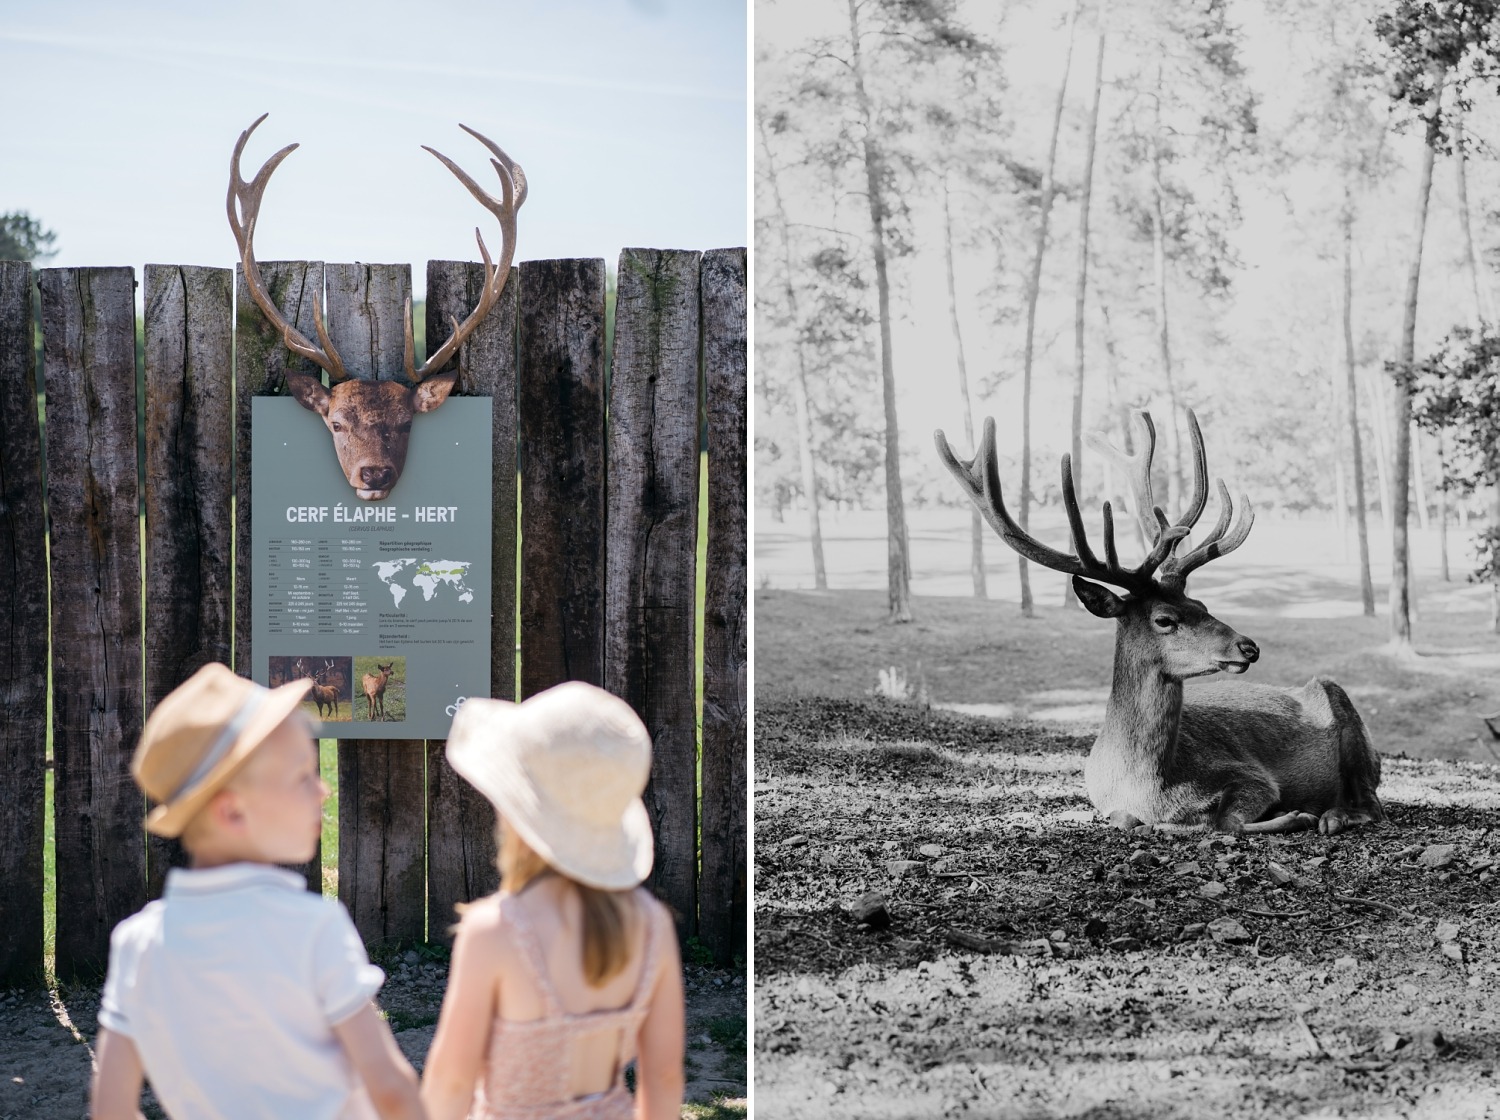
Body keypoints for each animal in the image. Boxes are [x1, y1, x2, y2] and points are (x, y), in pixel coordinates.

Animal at [930, 410, 1386, 833]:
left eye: (1201, 602)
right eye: (1165, 619)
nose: (1249, 646)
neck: (1148, 788)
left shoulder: (1253, 777)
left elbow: (1226, 821)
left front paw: (1294, 814)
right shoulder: (1107, 801)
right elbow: (1129, 820)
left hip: (1349, 720)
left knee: (1373, 805)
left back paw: (1332, 816)